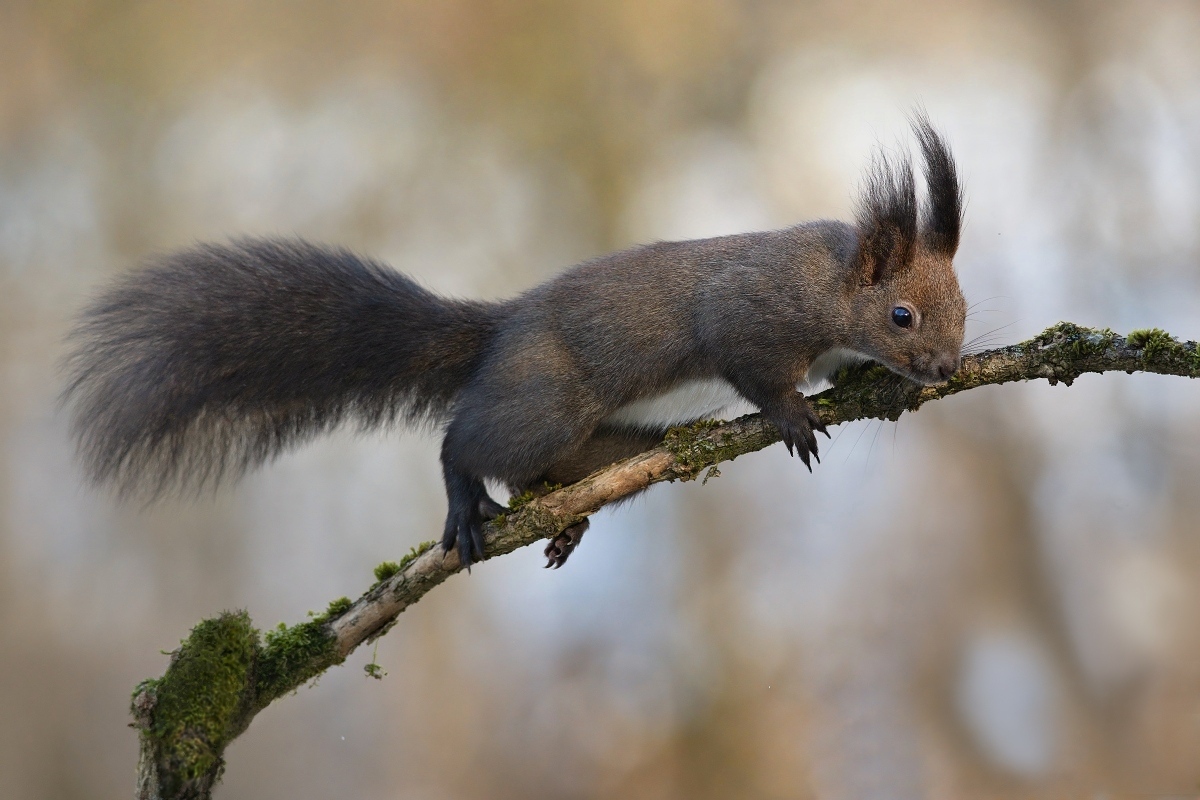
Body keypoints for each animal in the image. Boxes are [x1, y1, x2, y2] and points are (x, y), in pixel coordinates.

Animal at [63, 115, 964, 573]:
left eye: (963, 305)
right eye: (902, 317)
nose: (947, 368)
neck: (831, 281)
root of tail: (500, 333)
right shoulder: (750, 313)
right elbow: (754, 369)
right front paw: (795, 417)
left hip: (598, 446)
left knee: (558, 473)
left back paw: (567, 523)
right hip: (545, 402)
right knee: (462, 441)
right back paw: (464, 503)